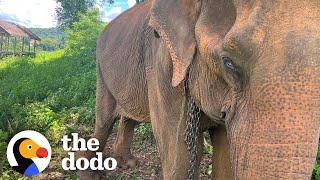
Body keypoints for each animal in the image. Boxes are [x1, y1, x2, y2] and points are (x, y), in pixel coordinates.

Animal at [78, 0, 320, 179]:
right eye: (228, 62)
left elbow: (224, 151)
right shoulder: (163, 68)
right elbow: (180, 157)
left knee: (127, 118)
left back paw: (128, 164)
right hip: (101, 72)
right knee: (104, 122)